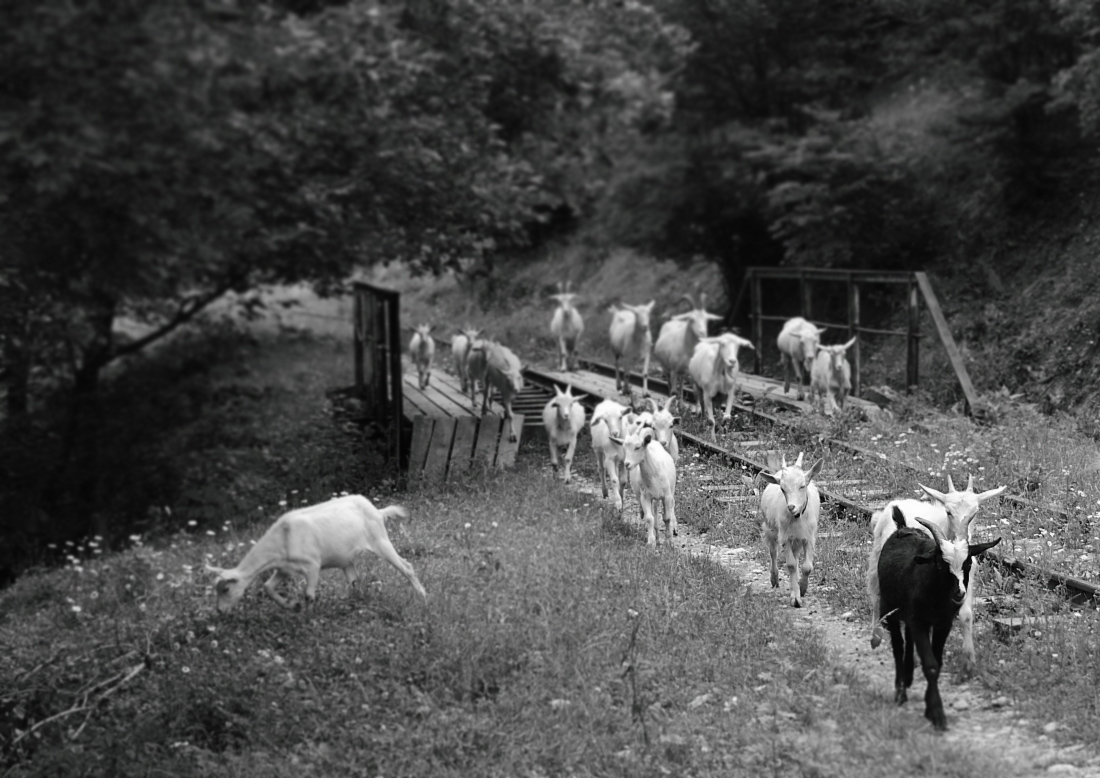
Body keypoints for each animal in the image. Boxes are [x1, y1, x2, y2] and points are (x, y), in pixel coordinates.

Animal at [204, 495, 426, 611]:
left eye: (226, 589)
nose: (220, 611)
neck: (284, 537)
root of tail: (377, 510)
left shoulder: (312, 565)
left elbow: (309, 594)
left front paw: (307, 615)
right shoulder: (284, 568)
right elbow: (267, 587)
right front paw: (291, 605)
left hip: (380, 540)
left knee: (406, 566)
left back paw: (422, 595)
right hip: (346, 559)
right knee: (354, 581)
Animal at [761, 453, 822, 611]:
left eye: (802, 486)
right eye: (782, 489)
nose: (791, 507)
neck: (797, 518)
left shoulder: (809, 538)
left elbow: (807, 567)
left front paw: (803, 588)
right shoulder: (785, 538)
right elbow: (791, 565)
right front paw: (795, 599)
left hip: (798, 540)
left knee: (795, 555)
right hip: (769, 529)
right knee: (773, 552)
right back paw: (774, 578)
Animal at [866, 470, 1007, 677]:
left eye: (975, 513)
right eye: (949, 512)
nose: (963, 538)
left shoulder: (965, 581)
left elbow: (965, 615)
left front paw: (969, 661)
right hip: (877, 556)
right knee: (876, 593)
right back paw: (876, 635)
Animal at [871, 506, 1003, 730]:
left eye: (968, 563)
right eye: (941, 564)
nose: (959, 593)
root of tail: (902, 527)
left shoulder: (943, 623)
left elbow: (938, 662)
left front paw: (929, 708)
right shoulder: (918, 621)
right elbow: (931, 665)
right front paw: (936, 713)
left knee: (908, 640)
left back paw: (908, 676)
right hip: (888, 609)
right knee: (898, 646)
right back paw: (900, 692)